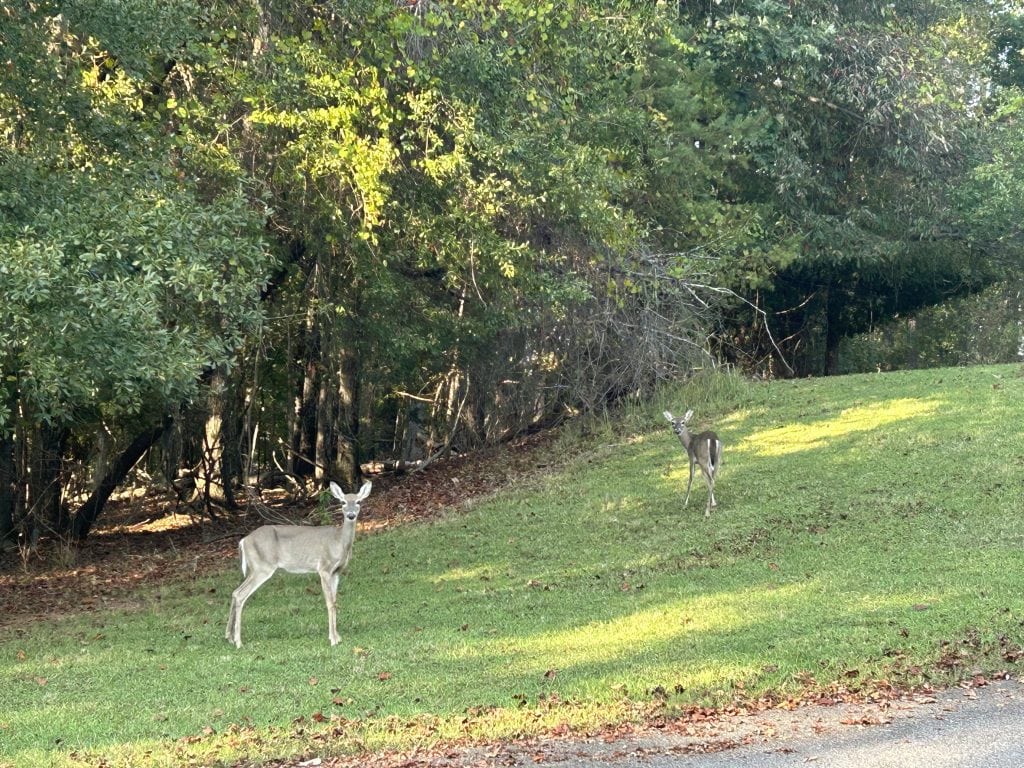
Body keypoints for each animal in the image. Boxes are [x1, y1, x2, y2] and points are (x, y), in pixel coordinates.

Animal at [225, 480, 371, 648]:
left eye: (358, 501)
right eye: (343, 502)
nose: (351, 515)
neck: (339, 542)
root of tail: (244, 541)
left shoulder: (336, 572)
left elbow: (335, 601)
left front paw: (337, 636)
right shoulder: (324, 568)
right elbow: (329, 602)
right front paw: (333, 640)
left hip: (255, 568)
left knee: (235, 592)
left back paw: (229, 637)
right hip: (262, 567)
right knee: (240, 594)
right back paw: (238, 642)